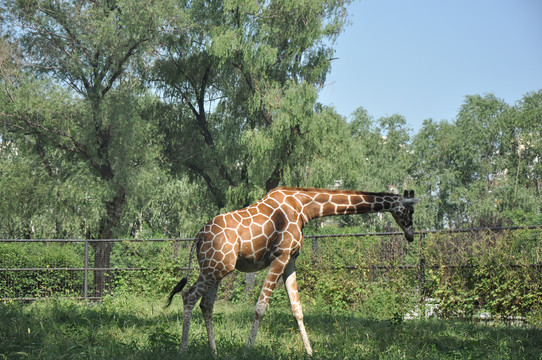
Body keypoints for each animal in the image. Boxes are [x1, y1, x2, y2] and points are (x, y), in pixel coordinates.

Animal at [166, 187, 420, 356]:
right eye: (409, 211)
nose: (411, 234)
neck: (305, 207)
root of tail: (198, 236)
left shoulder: (291, 259)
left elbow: (297, 308)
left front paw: (310, 352)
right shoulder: (279, 256)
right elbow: (260, 307)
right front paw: (247, 350)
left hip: (216, 269)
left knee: (206, 305)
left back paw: (214, 351)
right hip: (216, 267)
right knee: (188, 296)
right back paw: (183, 350)